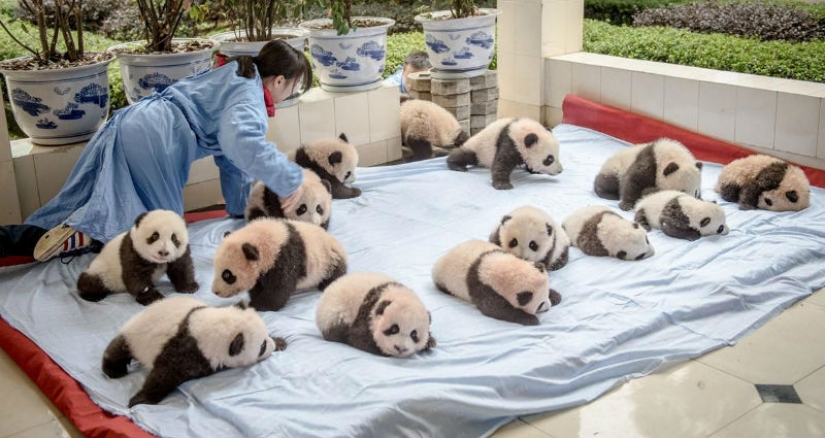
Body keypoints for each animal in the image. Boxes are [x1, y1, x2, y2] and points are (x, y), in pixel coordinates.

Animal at [102, 296, 284, 407]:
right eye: (262, 347)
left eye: (266, 337)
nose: (271, 346)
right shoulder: (185, 352)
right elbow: (163, 375)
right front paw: (140, 400)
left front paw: (280, 342)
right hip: (134, 335)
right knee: (118, 349)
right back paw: (113, 370)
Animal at [212, 218, 347, 312]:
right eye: (215, 268)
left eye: (227, 275)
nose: (215, 292)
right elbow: (258, 285)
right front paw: (255, 298)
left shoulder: (283, 259)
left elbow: (280, 287)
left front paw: (259, 305)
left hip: (328, 258)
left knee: (335, 271)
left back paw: (325, 284)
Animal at [431, 240, 562, 326]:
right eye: (540, 304)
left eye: (545, 296)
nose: (548, 307)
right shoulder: (483, 287)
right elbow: (495, 309)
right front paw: (530, 319)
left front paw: (555, 296)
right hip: (443, 277)